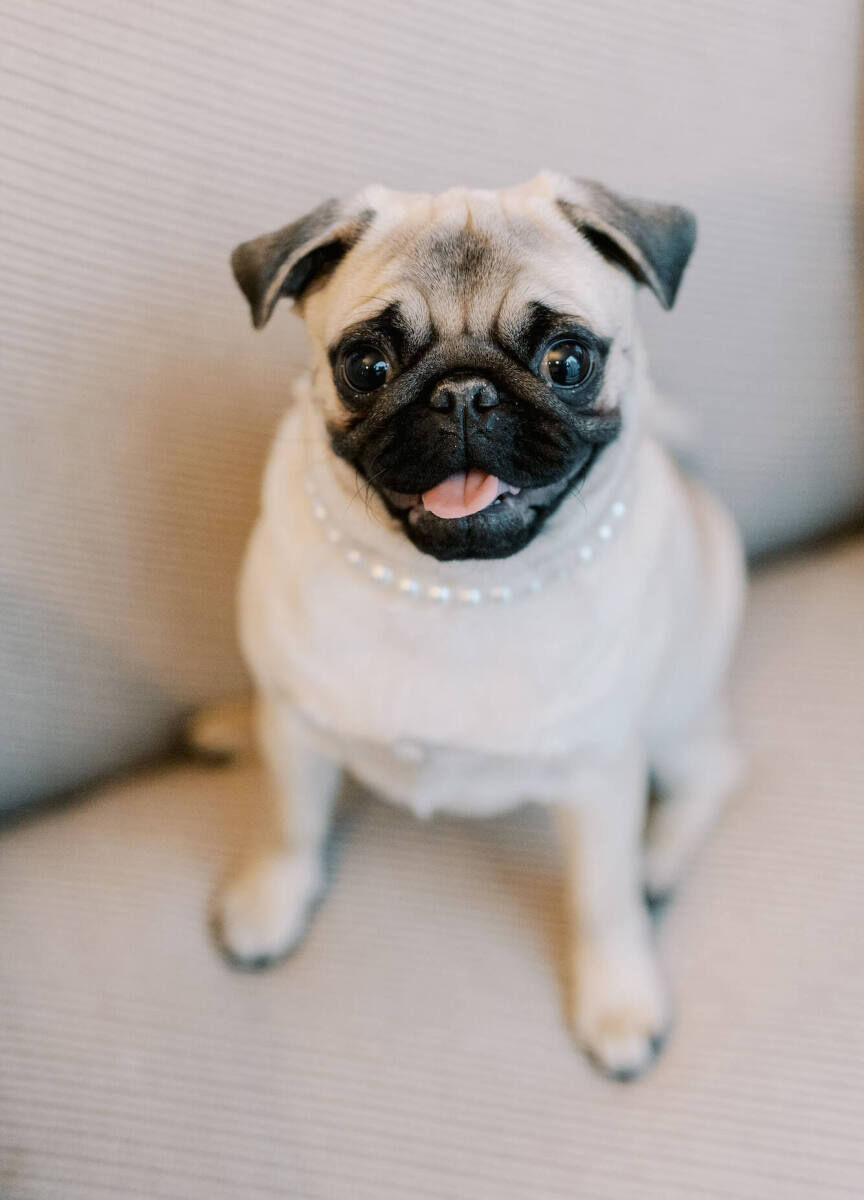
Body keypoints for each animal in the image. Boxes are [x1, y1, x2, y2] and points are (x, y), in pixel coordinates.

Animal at [211, 174, 744, 1084]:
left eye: (568, 361)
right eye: (367, 365)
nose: (462, 392)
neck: (453, 591)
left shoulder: (599, 775)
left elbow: (600, 901)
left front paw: (619, 1001)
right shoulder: (297, 728)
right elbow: (289, 824)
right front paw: (269, 903)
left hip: (676, 717)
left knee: (712, 775)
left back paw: (657, 864)